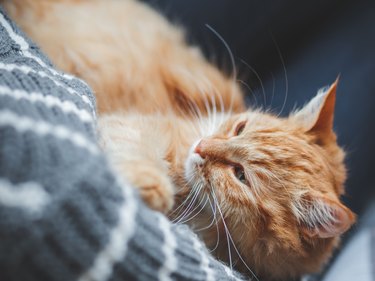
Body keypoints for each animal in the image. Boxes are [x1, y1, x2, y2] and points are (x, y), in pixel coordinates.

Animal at [2, 0, 356, 280]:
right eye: (239, 128)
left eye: (240, 175)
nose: (201, 148)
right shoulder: (134, 126)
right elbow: (137, 154)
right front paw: (150, 187)